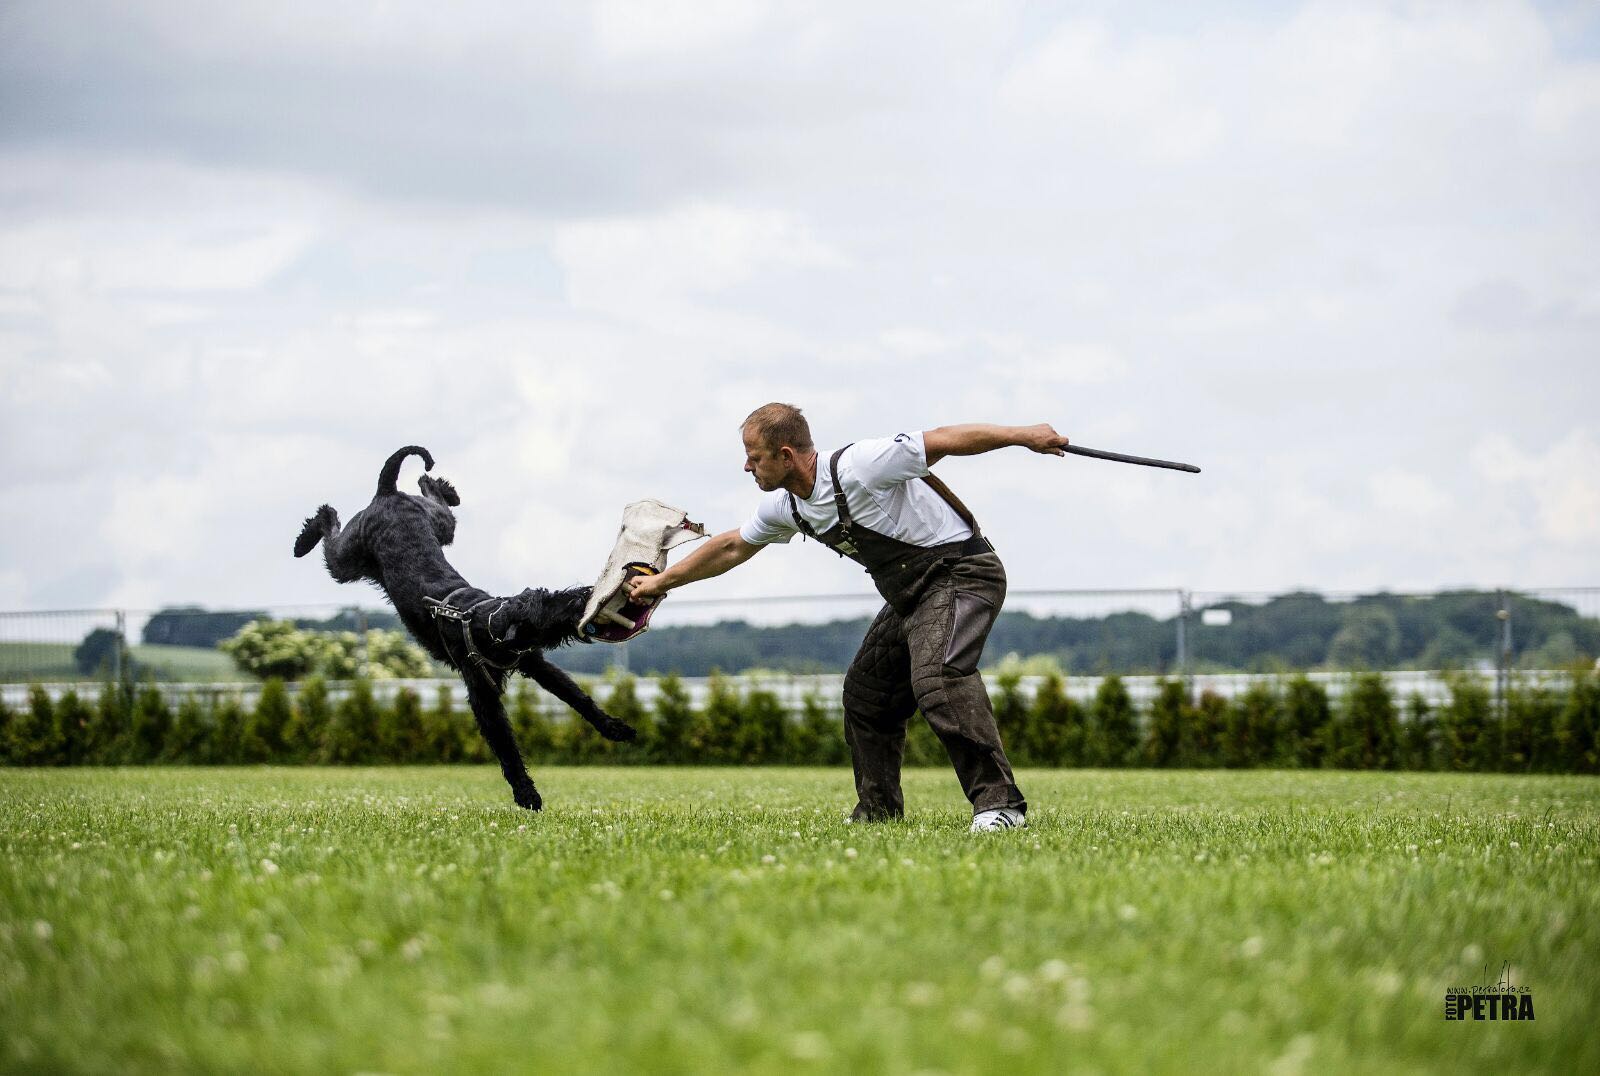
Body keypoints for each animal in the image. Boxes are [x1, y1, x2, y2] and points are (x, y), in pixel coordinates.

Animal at [293, 445, 635, 809]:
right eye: (552, 606)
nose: (588, 594)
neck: (489, 620)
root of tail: (387, 493)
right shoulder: (482, 694)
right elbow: (506, 746)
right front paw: (527, 794)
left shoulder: (534, 663)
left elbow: (577, 697)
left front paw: (616, 728)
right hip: (348, 557)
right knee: (329, 524)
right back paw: (303, 541)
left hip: (439, 524)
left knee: (432, 492)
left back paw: (442, 487)